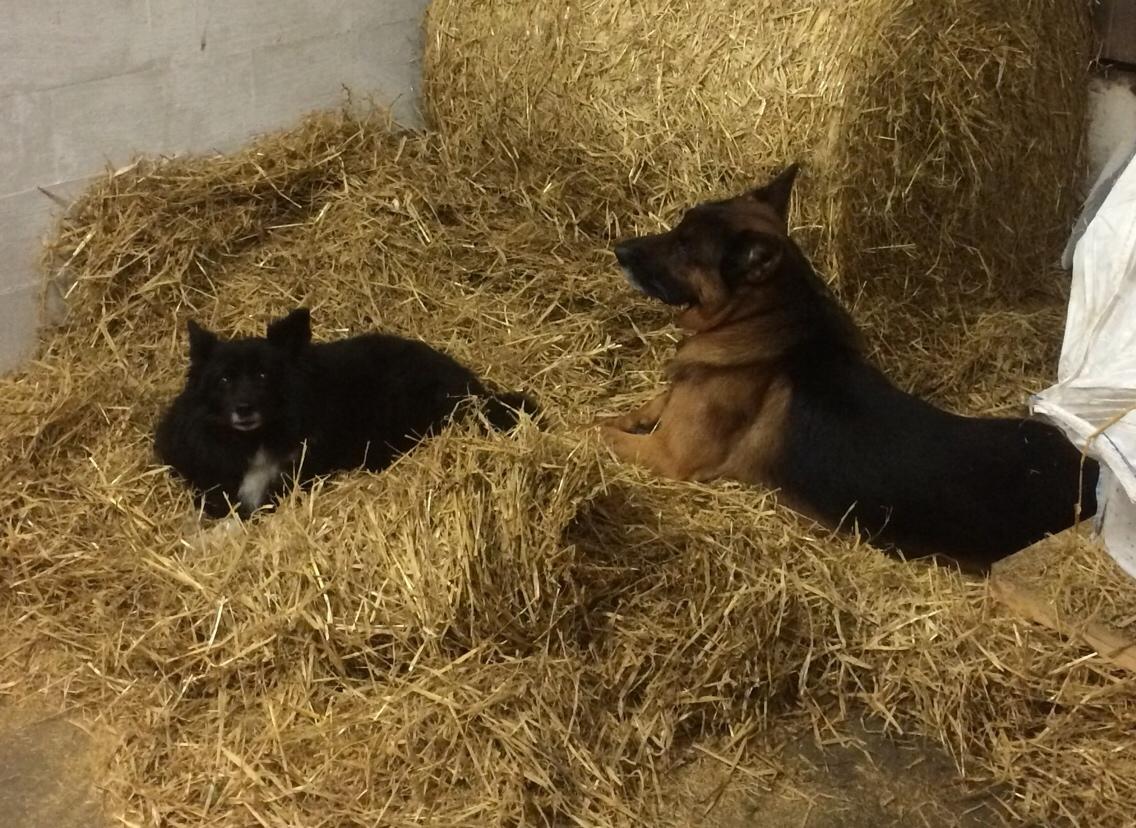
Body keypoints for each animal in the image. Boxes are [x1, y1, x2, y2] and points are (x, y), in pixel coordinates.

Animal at [599, 165, 1095, 572]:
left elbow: (598, 430)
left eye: (684, 247)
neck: (761, 318)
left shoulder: (669, 455)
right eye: (677, 228)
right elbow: (648, 405)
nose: (619, 249)